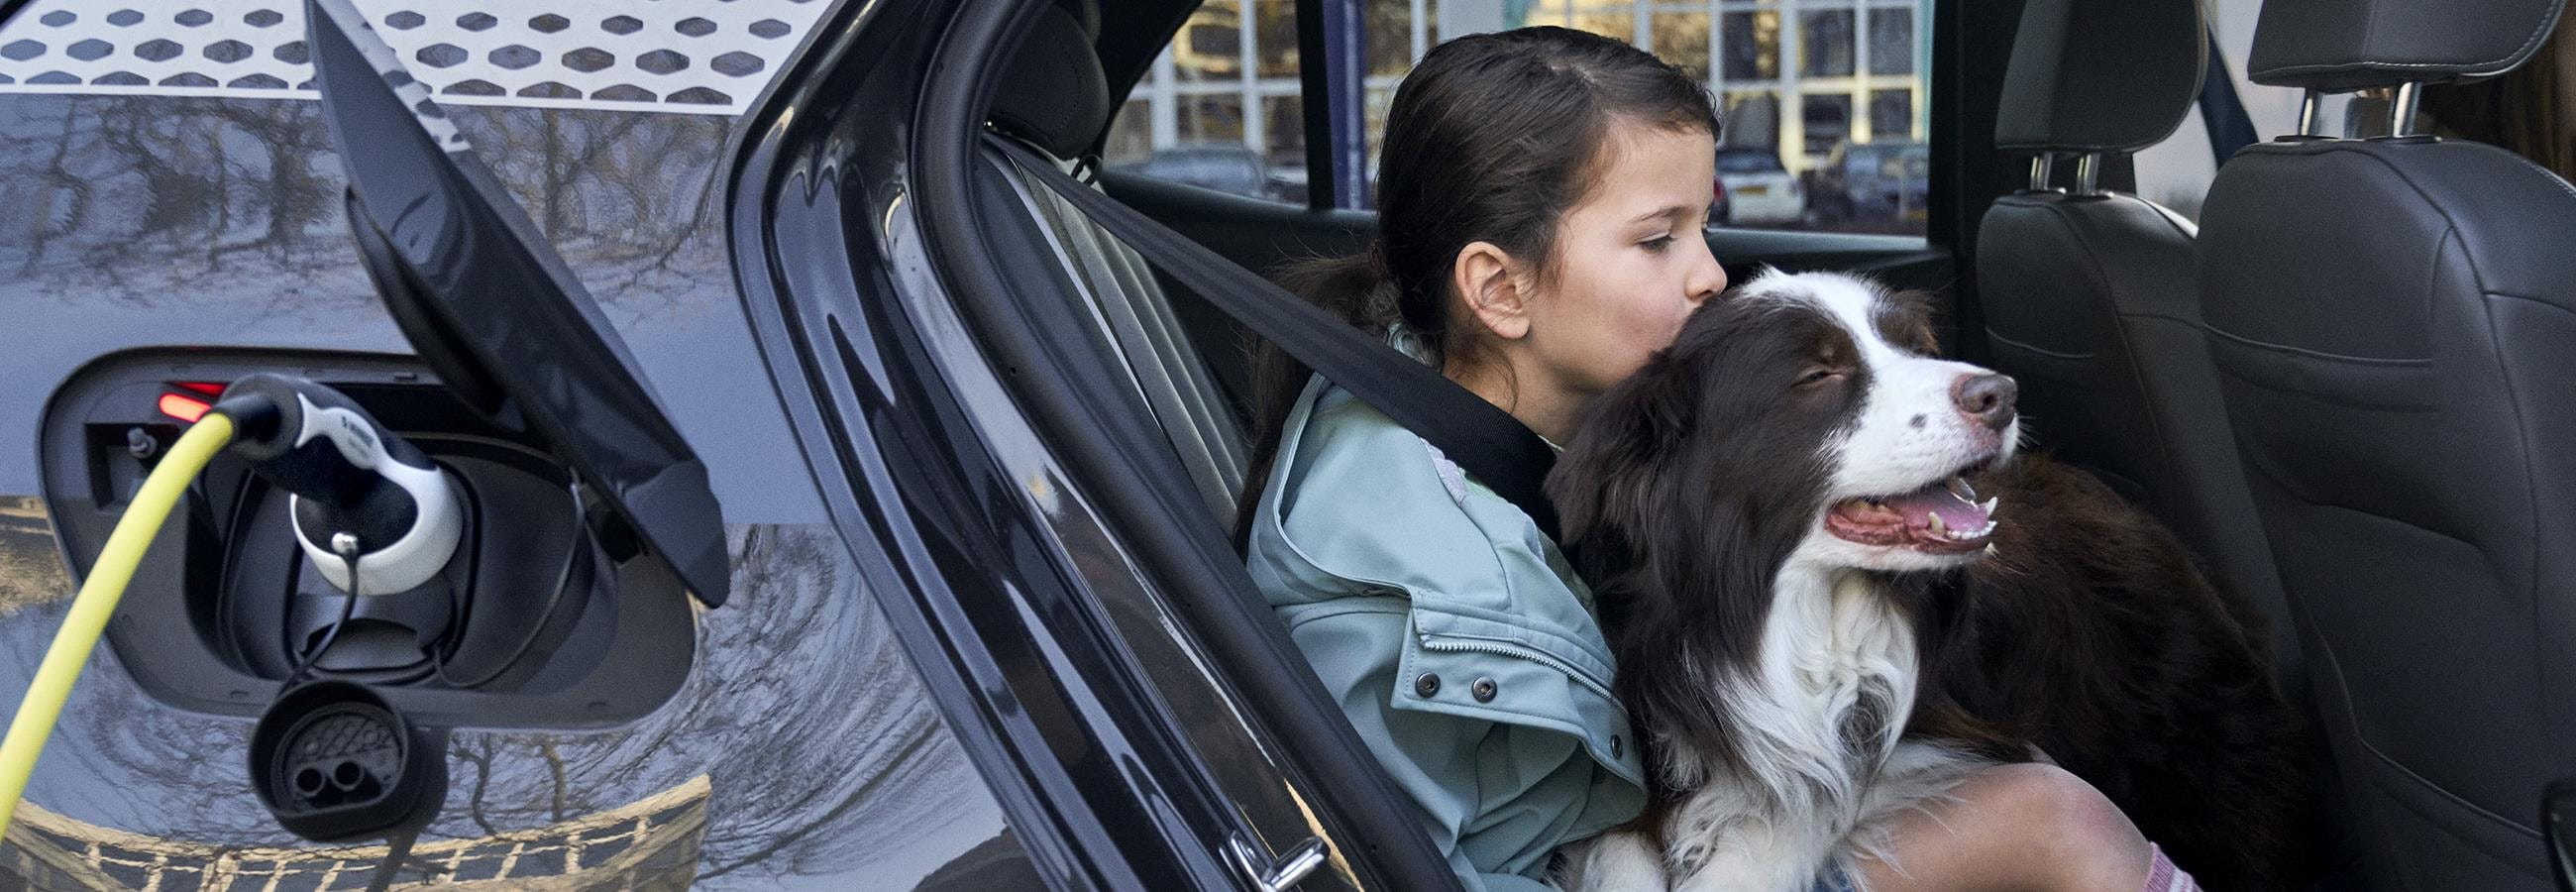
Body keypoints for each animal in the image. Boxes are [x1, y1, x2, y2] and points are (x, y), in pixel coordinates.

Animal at [1546, 269, 2318, 892]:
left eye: (1915, 347)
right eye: (1817, 375)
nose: (2000, 394)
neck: (1798, 614)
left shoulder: (1967, 732)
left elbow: (1826, 782)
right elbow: (1619, 837)